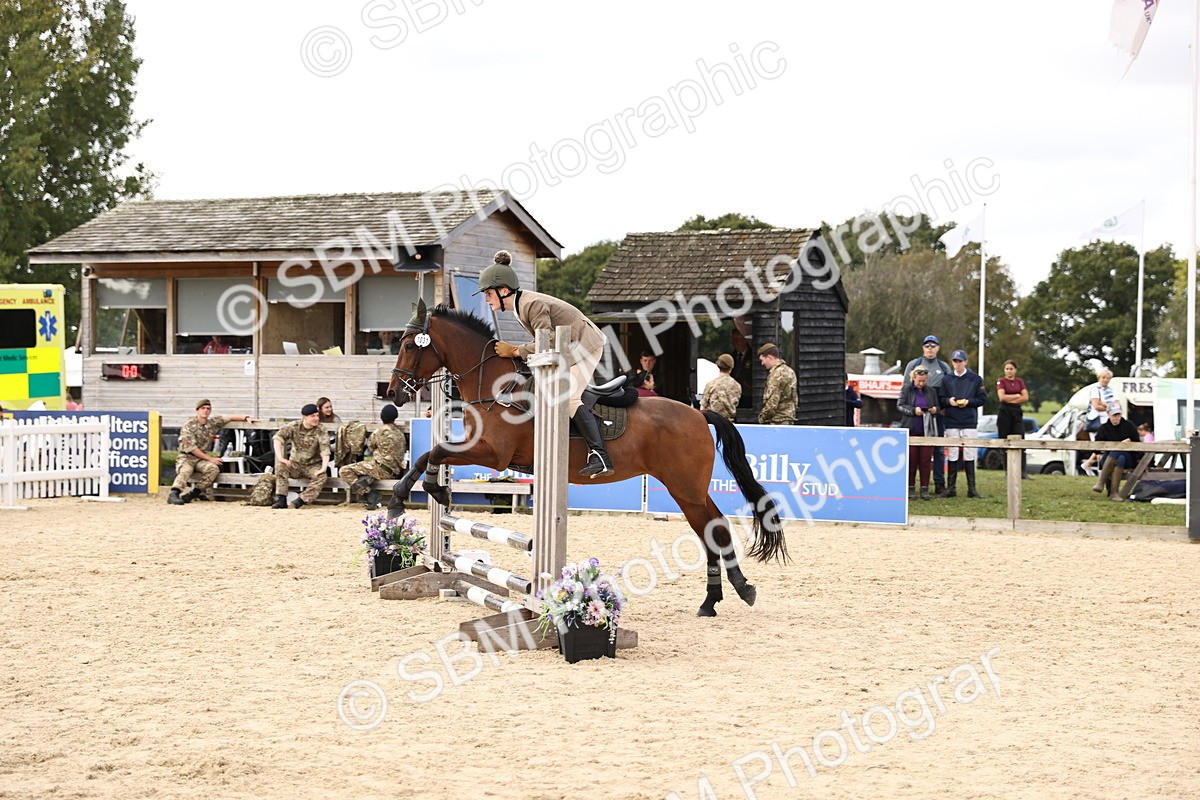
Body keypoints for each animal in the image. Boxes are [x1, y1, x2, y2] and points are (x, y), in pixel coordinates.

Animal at [385, 301, 788, 617]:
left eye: (407, 345)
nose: (393, 392)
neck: (496, 385)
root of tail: (699, 414)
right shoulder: (479, 445)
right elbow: (432, 453)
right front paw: (429, 493)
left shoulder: (494, 453)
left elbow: (433, 452)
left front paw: (404, 498)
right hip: (690, 489)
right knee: (714, 528)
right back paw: (725, 595)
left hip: (684, 487)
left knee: (712, 529)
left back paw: (728, 595)